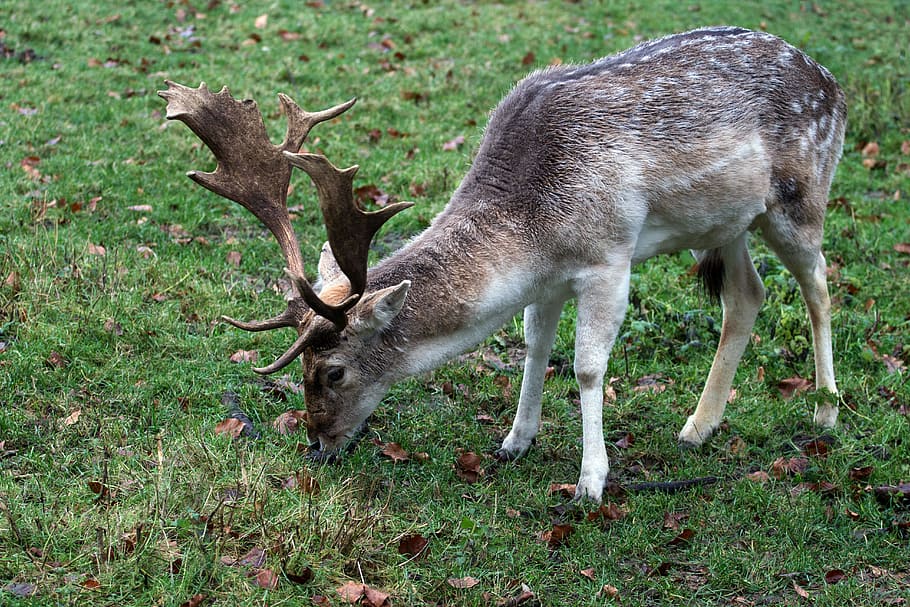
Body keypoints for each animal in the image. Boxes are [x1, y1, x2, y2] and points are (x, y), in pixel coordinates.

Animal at [159, 26, 846, 502]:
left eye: (333, 371)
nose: (317, 445)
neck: (535, 224)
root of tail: (833, 83)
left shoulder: (609, 255)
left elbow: (588, 366)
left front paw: (590, 482)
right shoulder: (549, 277)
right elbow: (536, 346)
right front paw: (515, 440)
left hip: (800, 196)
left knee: (819, 284)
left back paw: (824, 409)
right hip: (723, 224)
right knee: (748, 295)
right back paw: (698, 427)